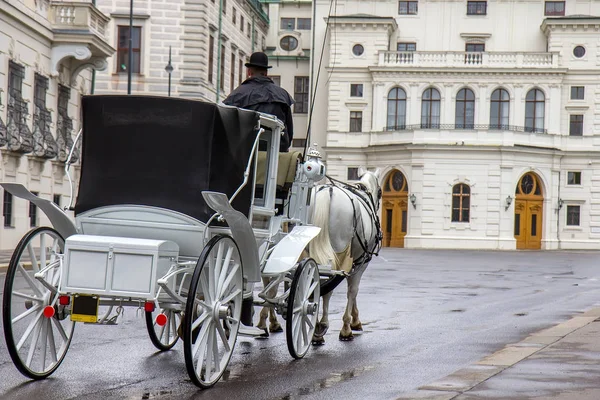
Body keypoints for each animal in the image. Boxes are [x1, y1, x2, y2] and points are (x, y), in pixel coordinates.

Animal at [310, 167, 384, 342]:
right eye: (380, 192)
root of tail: (327, 191)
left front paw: (353, 320)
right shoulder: (362, 261)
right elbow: (353, 290)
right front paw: (348, 326)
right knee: (326, 286)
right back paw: (321, 326)